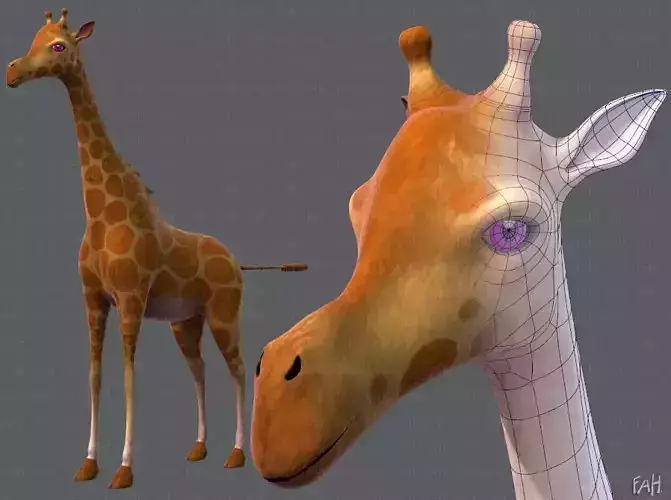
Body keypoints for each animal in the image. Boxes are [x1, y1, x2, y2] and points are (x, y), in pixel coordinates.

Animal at [6, 8, 308, 490]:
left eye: (58, 45)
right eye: (35, 37)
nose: (12, 71)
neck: (102, 214)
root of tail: (237, 262)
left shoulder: (130, 299)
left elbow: (130, 377)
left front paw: (124, 469)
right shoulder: (93, 299)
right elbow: (95, 375)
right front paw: (88, 463)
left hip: (224, 313)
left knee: (240, 369)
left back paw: (237, 454)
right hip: (185, 322)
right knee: (200, 371)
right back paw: (200, 447)